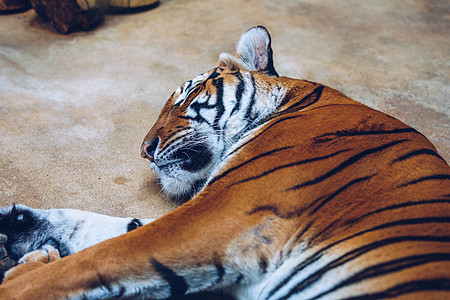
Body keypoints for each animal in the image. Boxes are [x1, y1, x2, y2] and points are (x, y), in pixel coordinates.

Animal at [0, 25, 450, 300]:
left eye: (187, 96)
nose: (144, 149)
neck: (291, 102)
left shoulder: (224, 212)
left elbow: (100, 256)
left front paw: (21, 275)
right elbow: (108, 228)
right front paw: (16, 224)